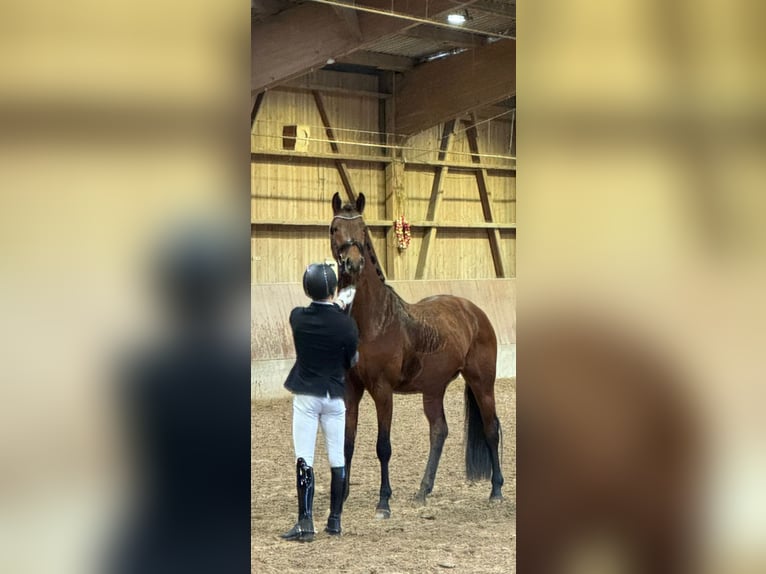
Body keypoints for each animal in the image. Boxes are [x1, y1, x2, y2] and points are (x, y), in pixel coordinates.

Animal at [328, 191, 504, 520]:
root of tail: (473, 312)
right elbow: (347, 443)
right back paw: (423, 490)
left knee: (490, 430)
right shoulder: (351, 389)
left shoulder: (383, 391)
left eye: (363, 230)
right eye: (335, 229)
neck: (374, 321)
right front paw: (342, 497)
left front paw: (384, 503)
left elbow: (383, 446)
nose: (353, 263)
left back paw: (496, 490)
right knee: (439, 431)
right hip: (433, 389)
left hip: (482, 383)